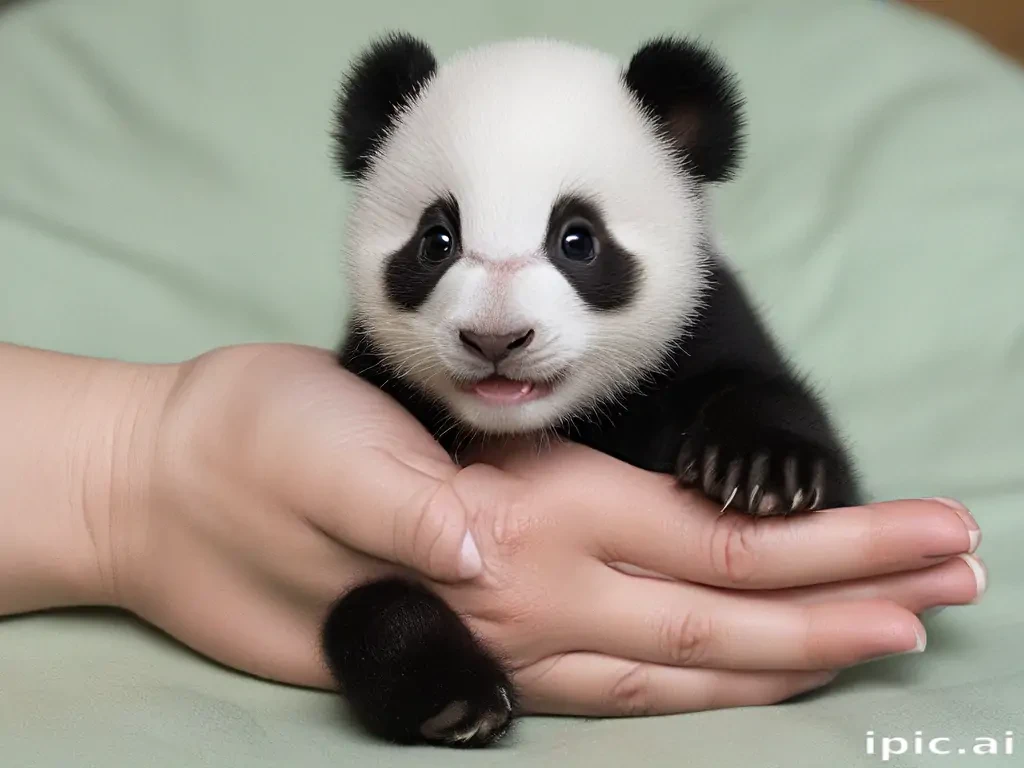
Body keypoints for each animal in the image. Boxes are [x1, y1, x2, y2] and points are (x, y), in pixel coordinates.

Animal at [319, 32, 862, 748]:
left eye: (577, 240)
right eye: (437, 240)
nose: (496, 339)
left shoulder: (699, 326)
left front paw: (763, 467)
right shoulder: (377, 379)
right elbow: (358, 598)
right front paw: (449, 694)